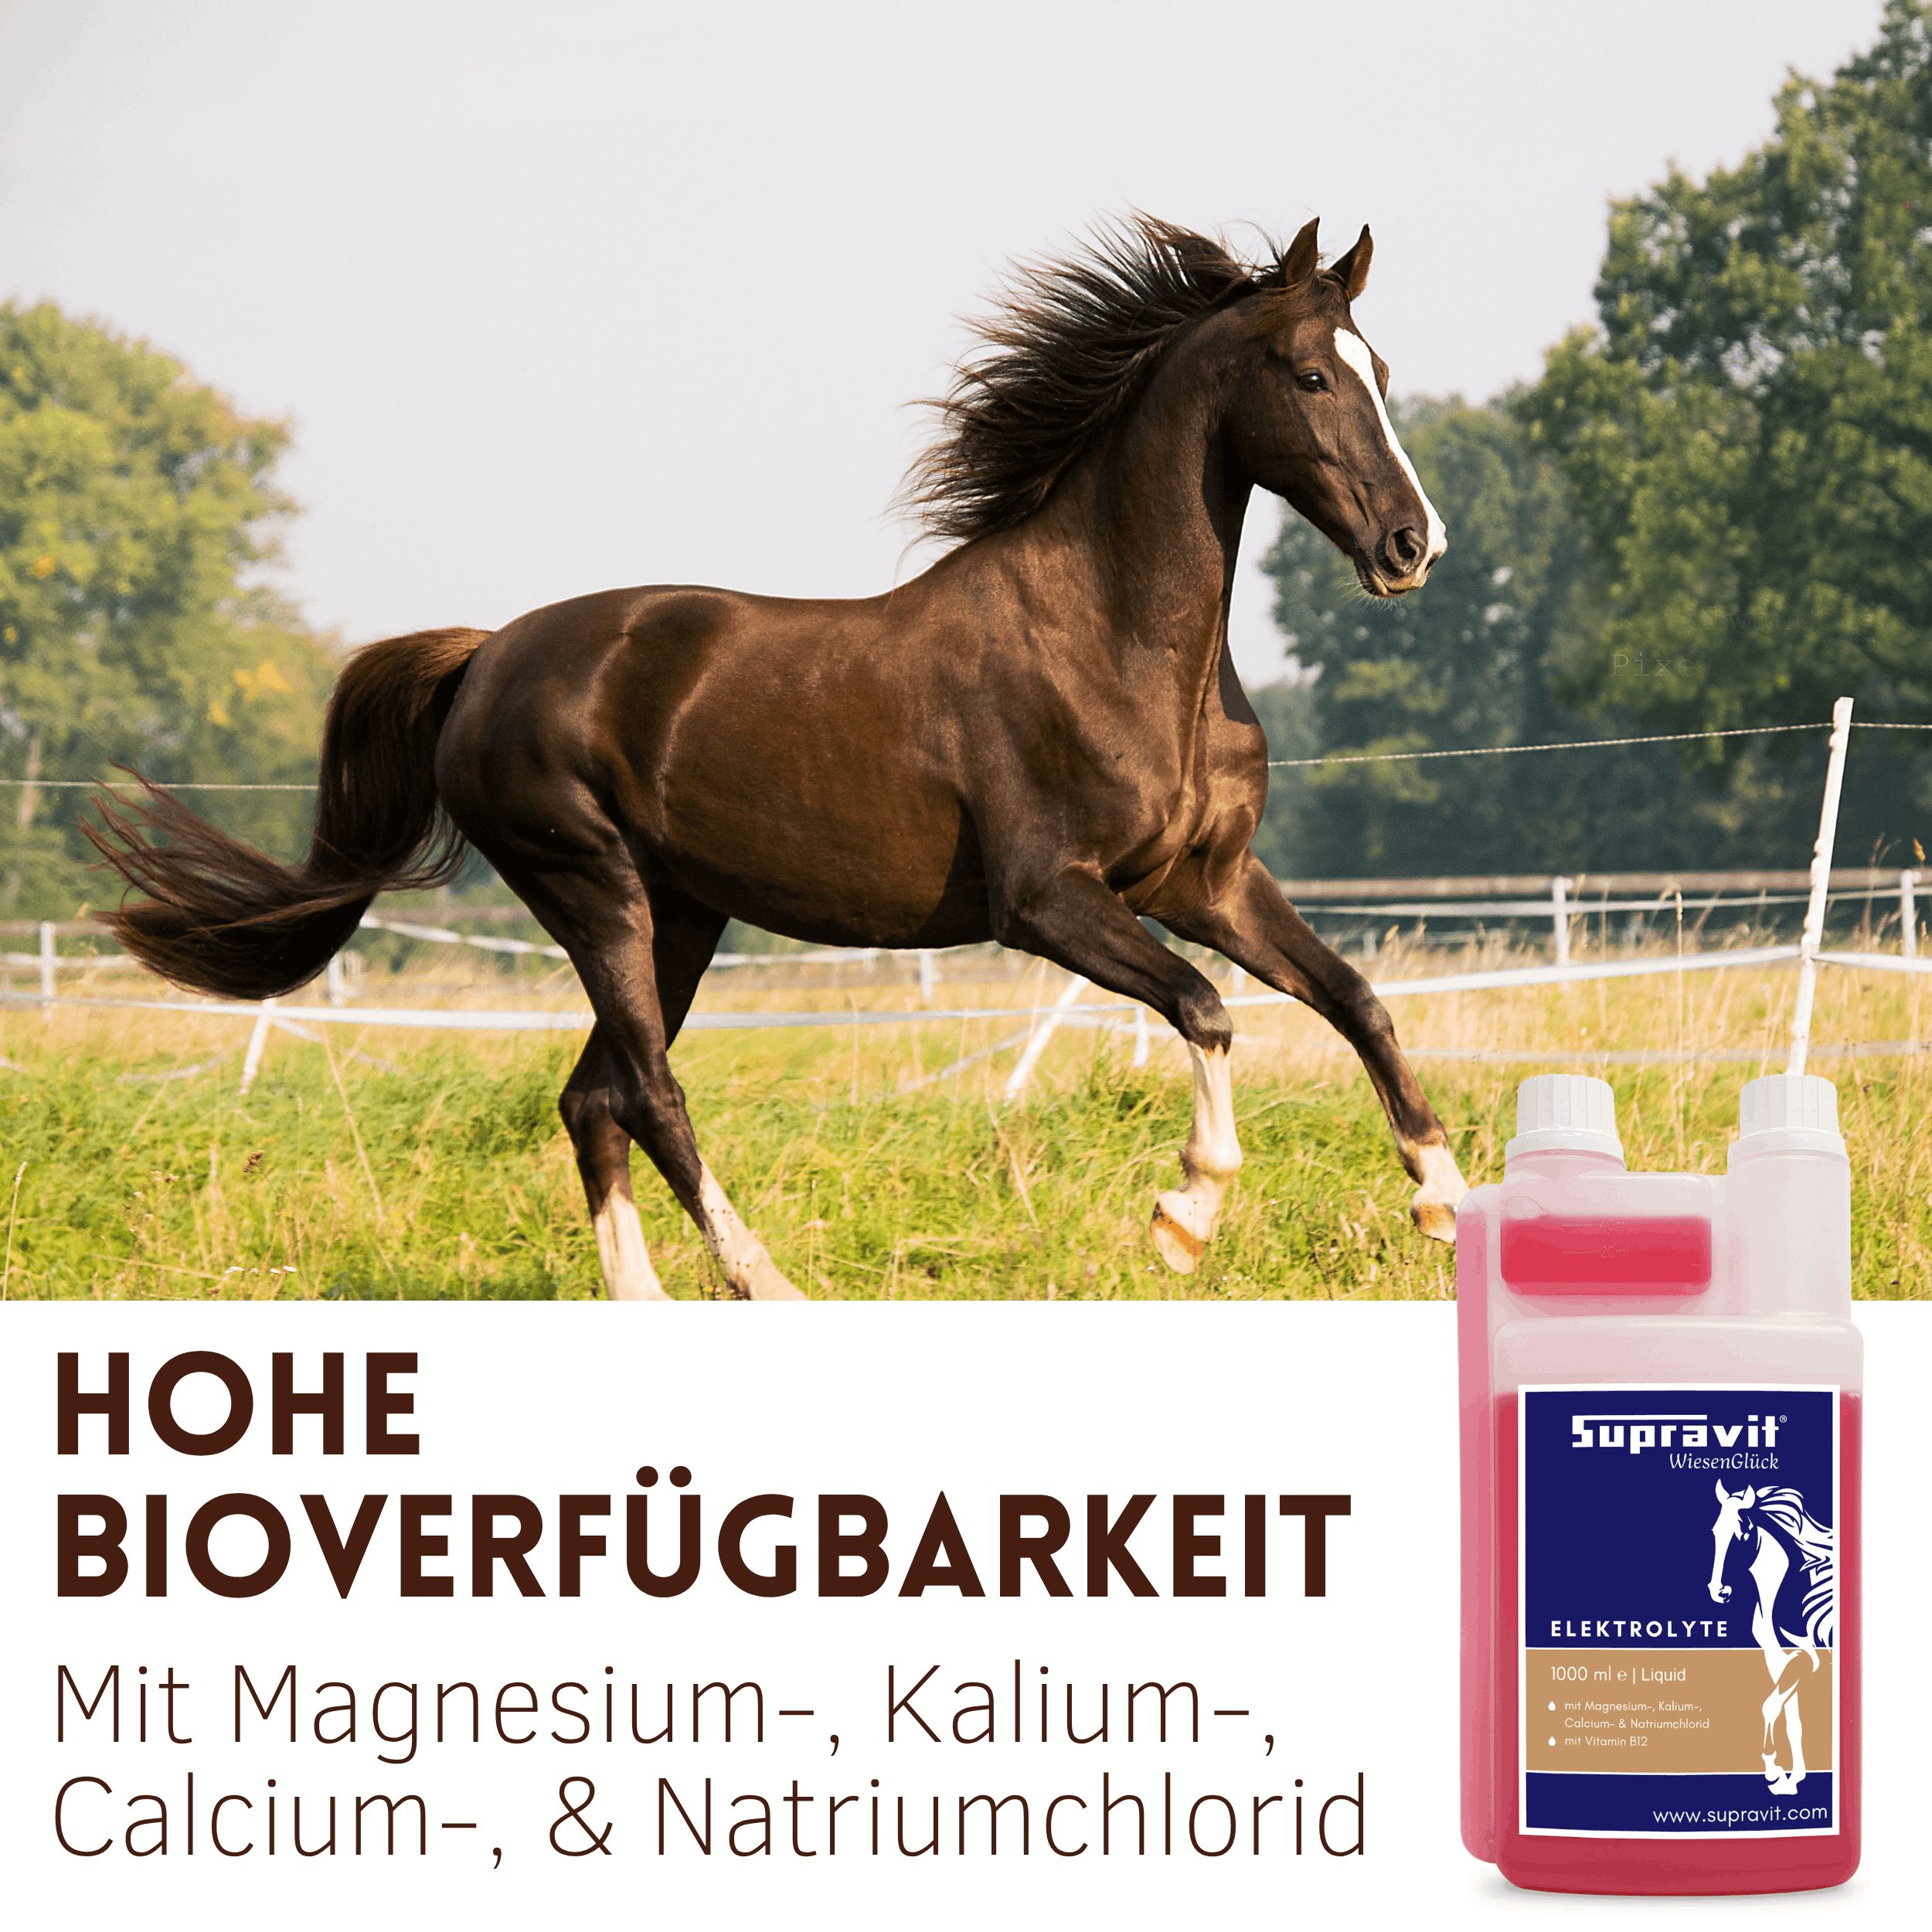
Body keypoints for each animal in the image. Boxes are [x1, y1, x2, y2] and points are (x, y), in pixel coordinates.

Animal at [88, 214, 1468, 1302]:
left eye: (1381, 368)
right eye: (1309, 375)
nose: (1415, 547)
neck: (1114, 641)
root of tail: (484, 659)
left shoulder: (1207, 882)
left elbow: (1356, 1000)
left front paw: (1442, 1200)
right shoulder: (1046, 903)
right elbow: (1206, 1009)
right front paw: (1187, 1216)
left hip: (683, 915)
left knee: (592, 1100)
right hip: (597, 891)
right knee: (648, 1095)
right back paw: (768, 1282)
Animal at [1708, 1481, 1836, 1793]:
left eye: (1743, 1534)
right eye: (1715, 1531)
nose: (1719, 1591)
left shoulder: (1809, 1658)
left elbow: (1769, 1707)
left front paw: (1774, 1769)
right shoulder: (1779, 1660)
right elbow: (1792, 1720)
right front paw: (1793, 1777)